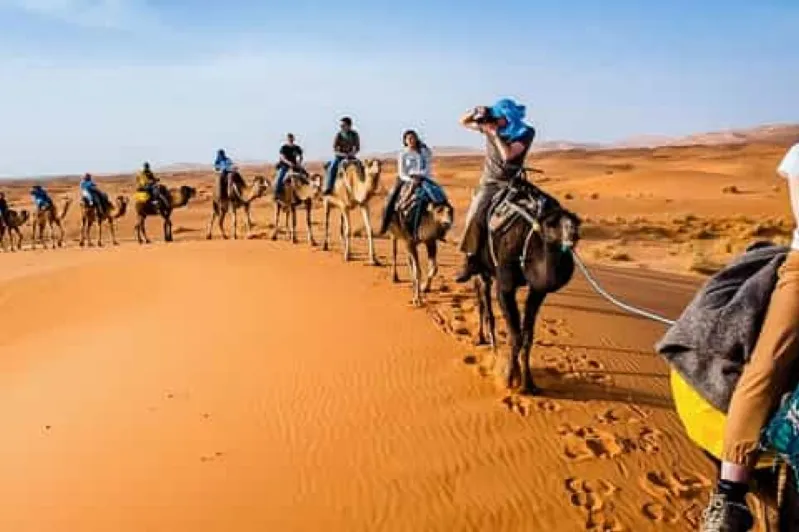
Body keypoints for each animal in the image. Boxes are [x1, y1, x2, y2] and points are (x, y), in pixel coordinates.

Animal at [476, 181, 580, 392]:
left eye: (576, 221)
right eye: (551, 224)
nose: (573, 234)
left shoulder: (538, 291)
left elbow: (527, 336)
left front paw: (529, 383)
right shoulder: (505, 285)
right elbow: (515, 335)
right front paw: (510, 378)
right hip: (483, 267)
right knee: (483, 298)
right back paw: (486, 341)